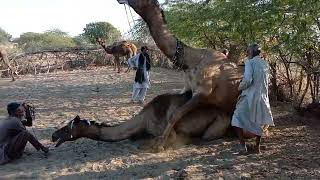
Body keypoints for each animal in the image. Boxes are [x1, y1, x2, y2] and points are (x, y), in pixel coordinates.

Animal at [116, 0, 244, 150]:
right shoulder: (187, 90)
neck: (191, 61)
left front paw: (159, 144)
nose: (120, 0)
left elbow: (175, 114)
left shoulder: (203, 92)